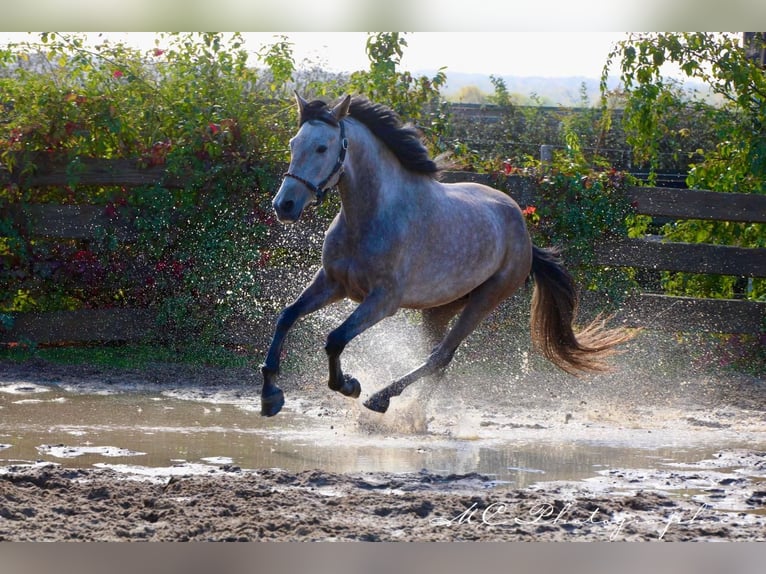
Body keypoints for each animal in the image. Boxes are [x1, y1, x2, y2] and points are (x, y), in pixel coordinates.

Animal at [259, 93, 633, 417]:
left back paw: (383, 400)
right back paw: (410, 415)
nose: (284, 206)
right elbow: (287, 316)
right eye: (293, 144)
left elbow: (335, 339)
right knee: (438, 361)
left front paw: (348, 385)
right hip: (439, 309)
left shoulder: (382, 301)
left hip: (484, 301)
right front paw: (270, 396)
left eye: (322, 147)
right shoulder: (331, 284)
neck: (370, 216)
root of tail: (524, 233)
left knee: (441, 356)